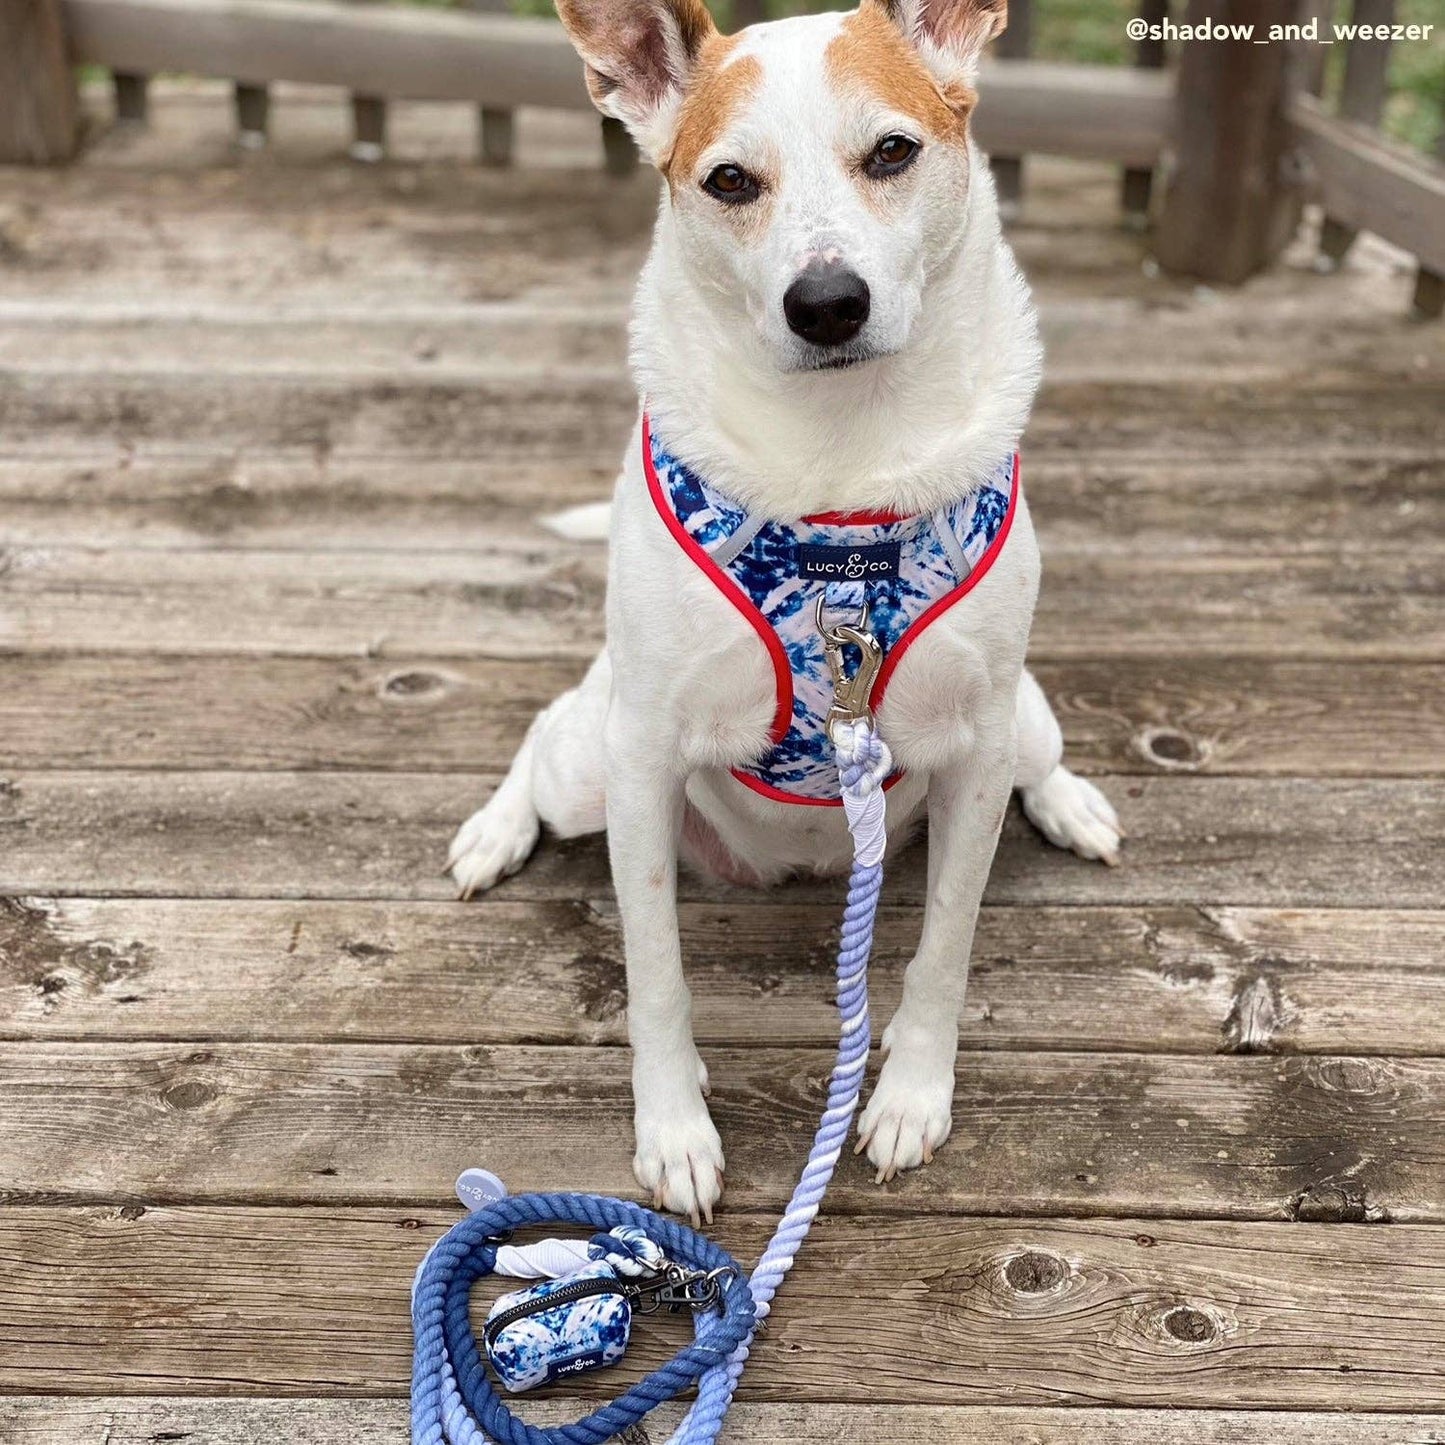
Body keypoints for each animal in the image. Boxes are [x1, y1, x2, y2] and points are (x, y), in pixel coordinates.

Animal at [445, 0, 1121, 1231]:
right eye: (727, 180)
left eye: (892, 151)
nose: (827, 303)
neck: (837, 468)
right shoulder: (643, 750)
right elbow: (655, 974)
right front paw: (672, 1130)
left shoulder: (981, 743)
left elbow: (945, 947)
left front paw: (909, 1094)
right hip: (587, 761)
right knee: (537, 745)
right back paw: (492, 832)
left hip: (1027, 719)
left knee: (1041, 765)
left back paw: (1073, 804)